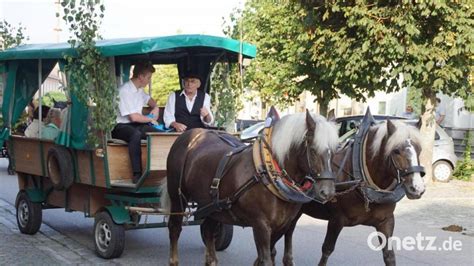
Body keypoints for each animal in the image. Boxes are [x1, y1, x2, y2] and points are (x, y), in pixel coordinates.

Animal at [165, 111, 338, 264]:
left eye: (335, 151)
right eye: (313, 150)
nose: (327, 192)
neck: (268, 172)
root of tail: (192, 134)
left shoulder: (283, 226)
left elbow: (266, 257)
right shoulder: (260, 225)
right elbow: (266, 259)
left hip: (213, 207)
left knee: (208, 231)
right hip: (178, 196)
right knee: (174, 228)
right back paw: (173, 260)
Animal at [282, 119, 426, 266]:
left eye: (419, 149)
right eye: (396, 151)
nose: (417, 188)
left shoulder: (386, 221)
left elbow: (389, 256)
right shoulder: (336, 220)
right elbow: (327, 249)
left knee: (289, 230)